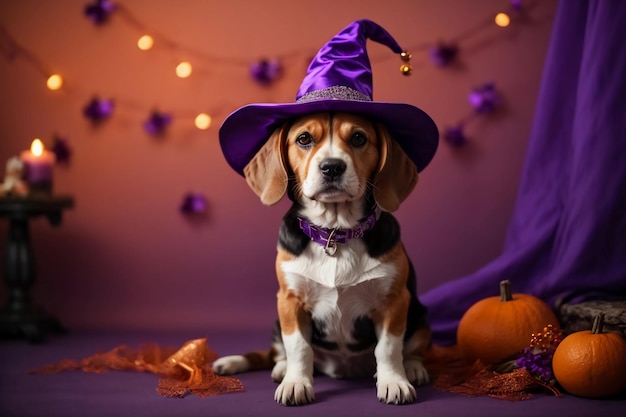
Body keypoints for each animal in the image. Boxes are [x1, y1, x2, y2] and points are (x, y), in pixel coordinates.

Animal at [213, 112, 428, 404]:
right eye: (304, 139)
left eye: (358, 138)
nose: (332, 167)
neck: (335, 232)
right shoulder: (289, 301)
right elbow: (298, 347)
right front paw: (296, 383)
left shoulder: (394, 300)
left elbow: (388, 348)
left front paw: (394, 381)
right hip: (277, 320)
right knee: (276, 354)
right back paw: (279, 368)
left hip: (420, 316)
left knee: (413, 348)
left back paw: (414, 368)